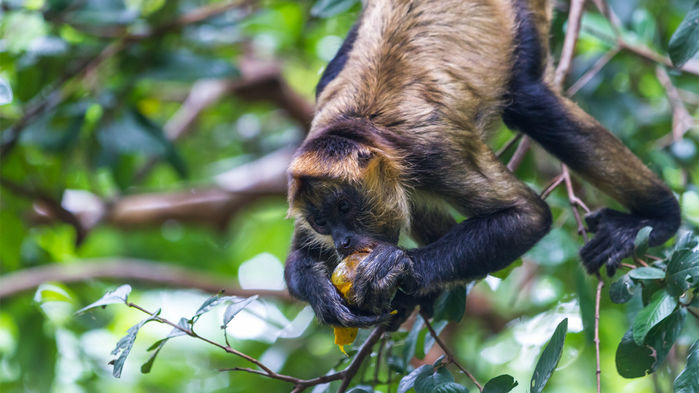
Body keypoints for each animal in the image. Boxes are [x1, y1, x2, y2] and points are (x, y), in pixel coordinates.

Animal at [284, 0, 680, 326]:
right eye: (322, 222)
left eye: (345, 207)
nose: (343, 242)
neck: (362, 127)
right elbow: (296, 260)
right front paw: (323, 296)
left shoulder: (434, 150)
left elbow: (529, 216)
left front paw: (400, 267)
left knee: (531, 99)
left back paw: (660, 218)